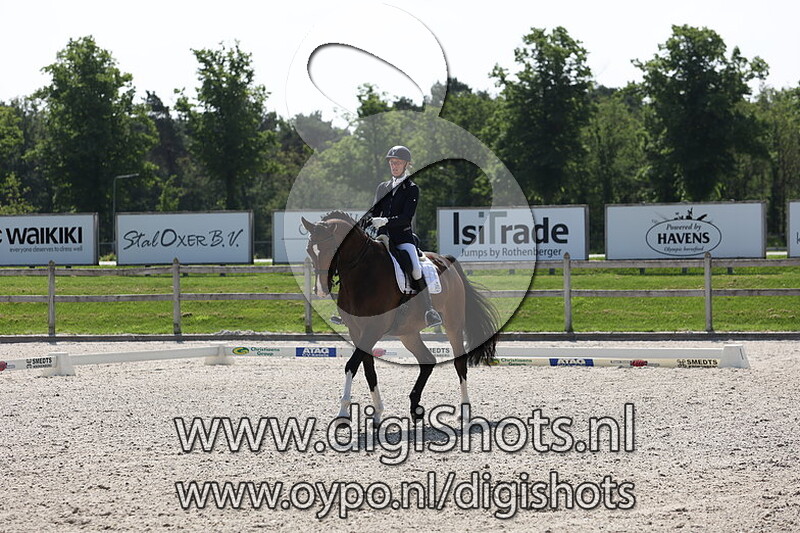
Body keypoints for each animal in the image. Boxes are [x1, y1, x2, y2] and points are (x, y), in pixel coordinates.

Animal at [301, 211, 499, 423]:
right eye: (310, 250)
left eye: (332, 249)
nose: (321, 290)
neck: (362, 272)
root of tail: (446, 261)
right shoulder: (357, 331)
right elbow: (368, 371)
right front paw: (377, 412)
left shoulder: (373, 329)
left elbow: (351, 365)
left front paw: (343, 412)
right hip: (408, 333)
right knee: (427, 360)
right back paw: (415, 408)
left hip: (453, 324)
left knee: (459, 363)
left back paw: (465, 411)